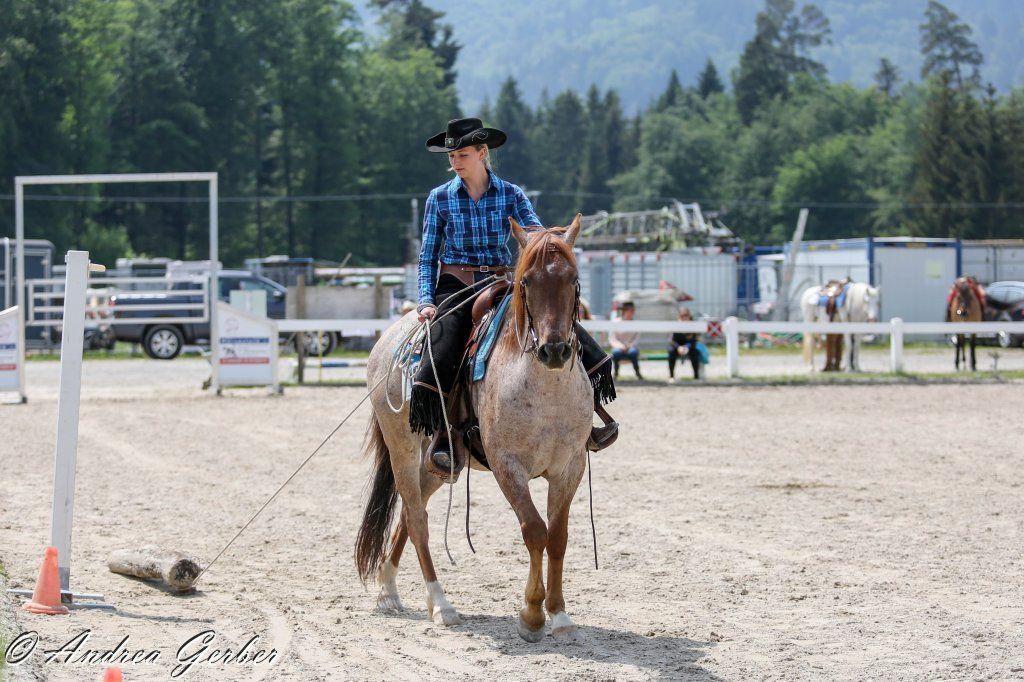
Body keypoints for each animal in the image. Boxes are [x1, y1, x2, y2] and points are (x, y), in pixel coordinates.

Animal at [355, 215, 593, 642]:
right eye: (526, 281)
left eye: (573, 278)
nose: (553, 350)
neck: (545, 392)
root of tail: (389, 338)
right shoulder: (507, 466)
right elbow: (535, 530)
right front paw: (532, 615)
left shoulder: (570, 467)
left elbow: (558, 536)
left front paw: (560, 614)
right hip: (401, 448)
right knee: (416, 518)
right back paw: (441, 605)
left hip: (441, 463)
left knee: (409, 513)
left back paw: (387, 590)